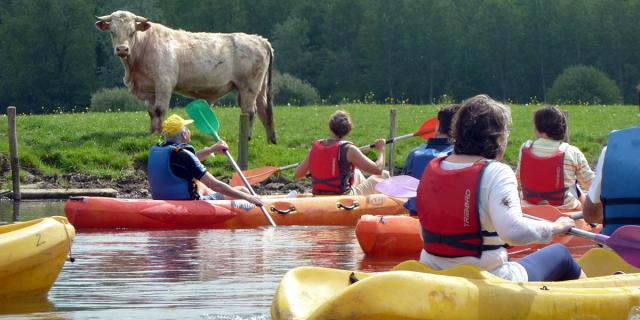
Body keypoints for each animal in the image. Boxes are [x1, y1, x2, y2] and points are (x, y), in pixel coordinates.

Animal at [95, 10, 276, 144]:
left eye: (132, 32)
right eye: (112, 32)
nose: (122, 49)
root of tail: (259, 39)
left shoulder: (164, 83)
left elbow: (160, 110)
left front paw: (160, 133)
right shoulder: (149, 88)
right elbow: (151, 112)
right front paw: (152, 133)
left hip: (249, 87)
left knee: (250, 112)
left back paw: (248, 137)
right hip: (259, 88)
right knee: (263, 110)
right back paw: (269, 140)